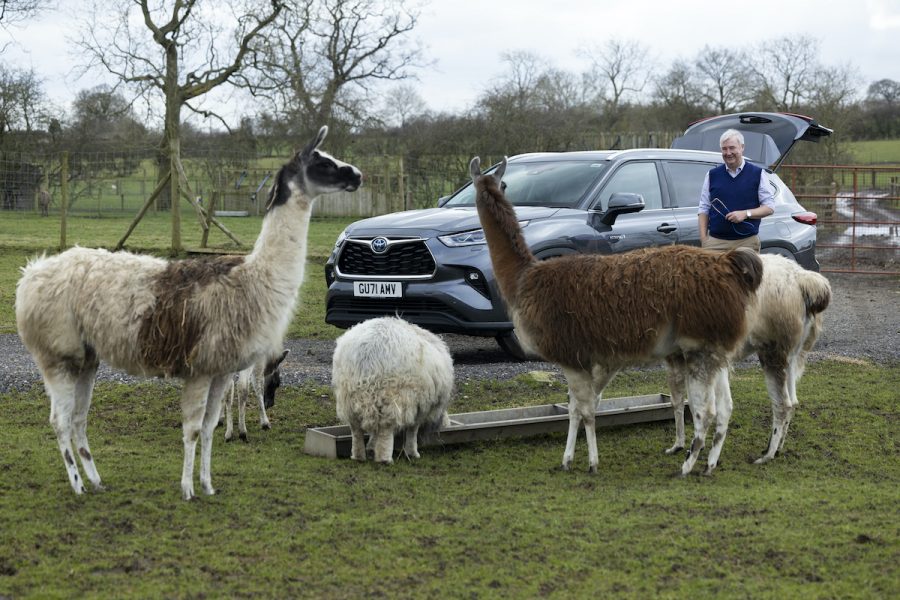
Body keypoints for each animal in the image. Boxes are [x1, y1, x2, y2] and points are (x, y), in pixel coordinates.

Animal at [330, 318, 454, 464]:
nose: (447, 424)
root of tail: (368, 355)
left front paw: (371, 446)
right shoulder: (418, 405)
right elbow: (413, 430)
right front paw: (412, 452)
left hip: (349, 395)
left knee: (355, 429)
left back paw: (358, 455)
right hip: (392, 396)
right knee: (385, 429)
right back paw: (385, 459)